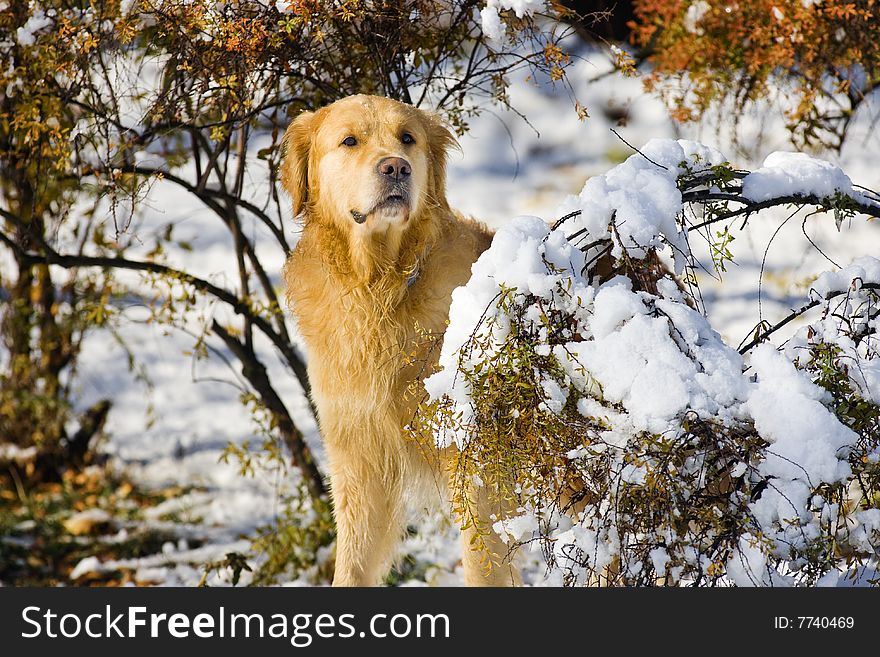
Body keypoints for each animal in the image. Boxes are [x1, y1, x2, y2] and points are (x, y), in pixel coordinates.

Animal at [280, 92, 516, 584]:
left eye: (407, 139)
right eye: (349, 141)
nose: (395, 168)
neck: (380, 289)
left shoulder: (478, 475)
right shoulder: (359, 464)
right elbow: (350, 568)